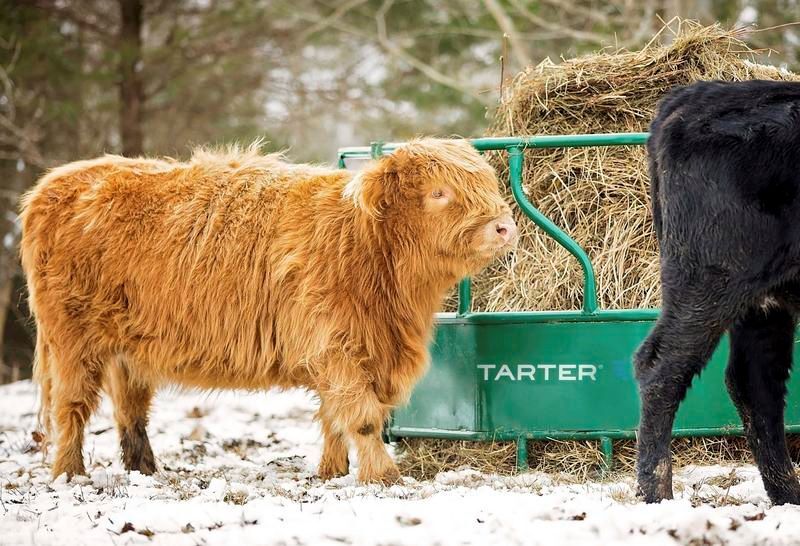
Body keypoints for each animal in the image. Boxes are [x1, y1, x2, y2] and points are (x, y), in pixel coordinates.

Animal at [20, 139, 518, 484]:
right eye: (439, 192)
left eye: (487, 185)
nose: (504, 226)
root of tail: (55, 183)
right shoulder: (336, 346)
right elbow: (362, 416)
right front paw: (384, 476)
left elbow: (333, 417)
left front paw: (332, 472)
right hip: (72, 340)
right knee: (72, 407)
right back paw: (70, 473)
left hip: (127, 349)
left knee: (131, 411)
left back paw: (144, 469)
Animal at [636, 79, 800, 505]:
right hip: (709, 283)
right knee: (661, 367)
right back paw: (657, 495)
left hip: (761, 304)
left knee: (756, 383)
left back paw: (788, 496)